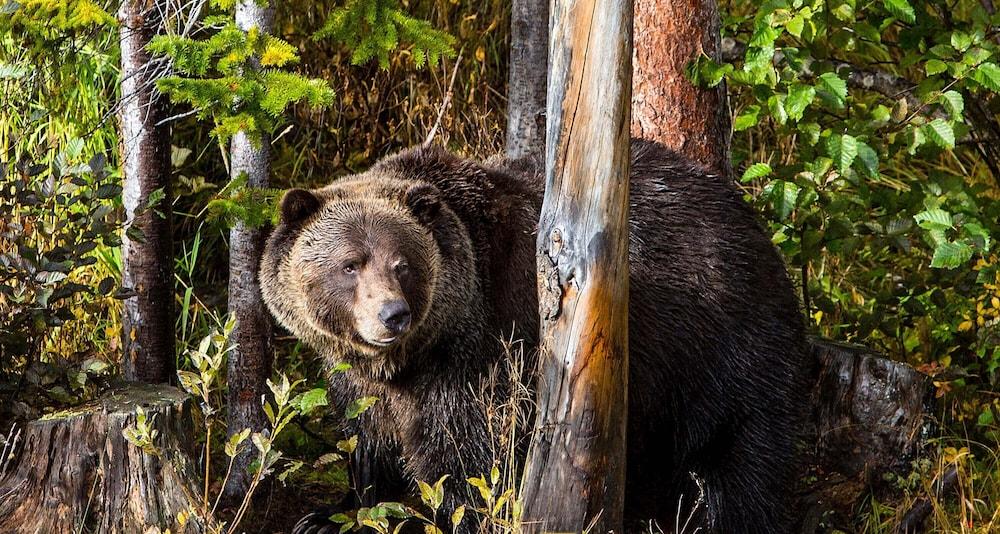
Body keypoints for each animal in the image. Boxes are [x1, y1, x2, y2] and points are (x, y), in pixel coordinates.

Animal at [262, 140, 808, 534]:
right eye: (350, 264)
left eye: (403, 264)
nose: (392, 315)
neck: (414, 358)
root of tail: (751, 222)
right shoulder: (360, 380)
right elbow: (368, 441)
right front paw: (325, 517)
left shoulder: (487, 348)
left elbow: (471, 458)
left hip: (721, 346)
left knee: (740, 460)